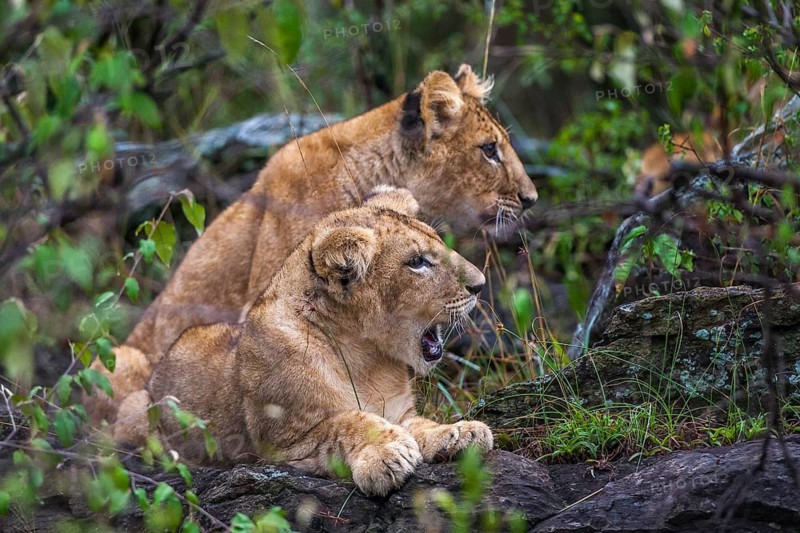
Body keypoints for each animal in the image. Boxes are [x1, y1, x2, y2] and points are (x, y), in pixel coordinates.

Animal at [115, 188, 493, 496]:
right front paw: (386, 456)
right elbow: (349, 422)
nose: (480, 285)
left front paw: (460, 433)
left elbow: (421, 425)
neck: (367, 359)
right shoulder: (281, 447)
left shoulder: (400, 411)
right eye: (417, 263)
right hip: (134, 408)